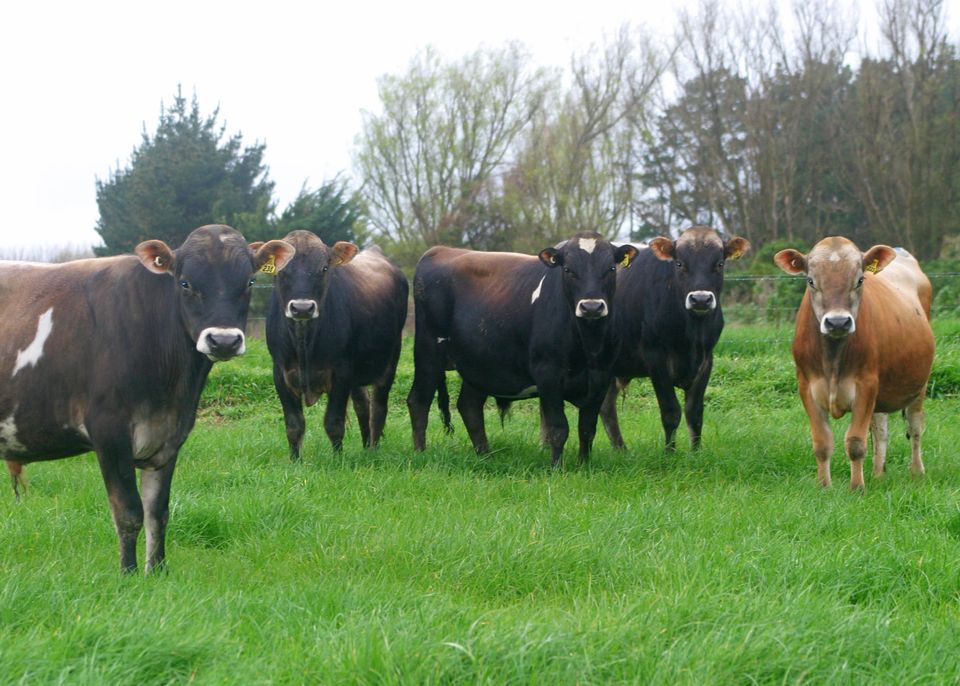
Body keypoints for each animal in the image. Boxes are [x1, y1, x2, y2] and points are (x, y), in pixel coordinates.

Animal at [0, 225, 295, 572]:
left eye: (249, 281)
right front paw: (127, 574)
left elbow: (158, 512)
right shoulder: (109, 431)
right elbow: (129, 513)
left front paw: (157, 571)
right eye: (185, 282)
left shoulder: (169, 438)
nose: (223, 341)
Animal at [265, 230, 408, 458]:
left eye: (324, 268)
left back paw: (373, 448)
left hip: (391, 358)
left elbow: (334, 422)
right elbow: (294, 425)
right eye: (282, 269)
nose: (302, 308)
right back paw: (366, 445)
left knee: (378, 407)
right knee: (362, 405)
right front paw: (295, 460)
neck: (304, 342)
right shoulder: (280, 372)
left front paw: (337, 459)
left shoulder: (341, 372)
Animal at [407, 232, 638, 468]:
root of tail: (440, 250)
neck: (588, 346)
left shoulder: (601, 377)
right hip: (428, 351)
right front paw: (557, 468)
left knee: (469, 406)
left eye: (611, 268)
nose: (591, 307)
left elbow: (587, 428)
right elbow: (558, 428)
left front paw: (584, 466)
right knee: (419, 400)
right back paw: (420, 452)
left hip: (477, 365)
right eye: (568, 270)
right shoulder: (548, 375)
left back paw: (485, 455)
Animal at [600, 226, 750, 450]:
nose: (700, 299)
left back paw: (621, 450)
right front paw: (669, 452)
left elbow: (694, 413)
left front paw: (696, 452)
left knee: (606, 407)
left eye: (720, 264)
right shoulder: (656, 360)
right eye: (679, 264)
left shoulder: (706, 360)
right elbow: (671, 412)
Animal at [774, 237, 935, 490]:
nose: (838, 322)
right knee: (881, 430)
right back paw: (878, 474)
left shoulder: (865, 386)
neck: (832, 360)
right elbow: (822, 443)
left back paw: (917, 471)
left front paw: (857, 487)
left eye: (860, 280)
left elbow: (856, 443)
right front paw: (824, 486)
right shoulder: (807, 388)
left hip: (920, 385)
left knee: (915, 426)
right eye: (811, 281)